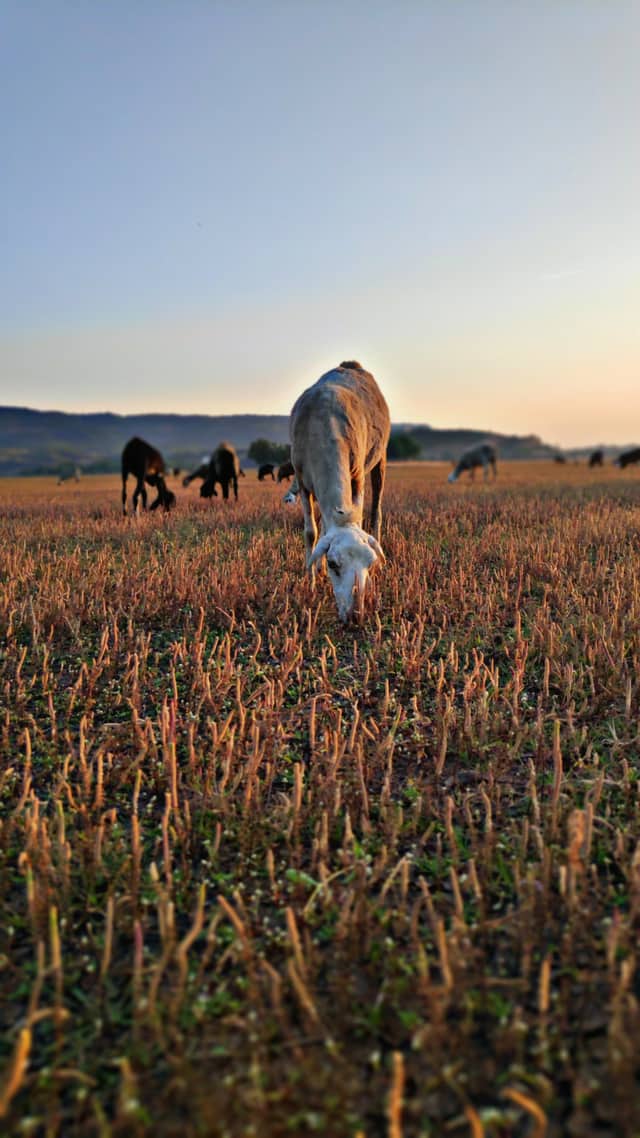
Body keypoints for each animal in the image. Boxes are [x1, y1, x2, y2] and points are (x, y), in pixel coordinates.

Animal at [289, 360, 390, 622]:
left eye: (370, 563)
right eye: (334, 563)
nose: (356, 616)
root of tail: (351, 364)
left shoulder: (357, 473)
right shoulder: (302, 480)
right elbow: (311, 533)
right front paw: (312, 581)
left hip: (380, 457)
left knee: (376, 512)